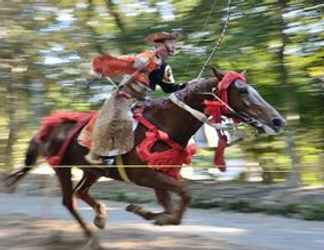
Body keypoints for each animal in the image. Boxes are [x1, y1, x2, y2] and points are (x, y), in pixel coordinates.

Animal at [4, 69, 284, 241]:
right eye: (243, 91)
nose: (278, 120)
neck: (164, 125)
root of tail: (48, 126)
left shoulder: (162, 175)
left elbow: (173, 206)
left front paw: (150, 215)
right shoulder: (145, 176)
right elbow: (185, 195)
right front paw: (155, 216)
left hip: (92, 169)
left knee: (80, 192)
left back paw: (101, 217)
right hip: (61, 167)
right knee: (68, 201)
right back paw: (92, 237)